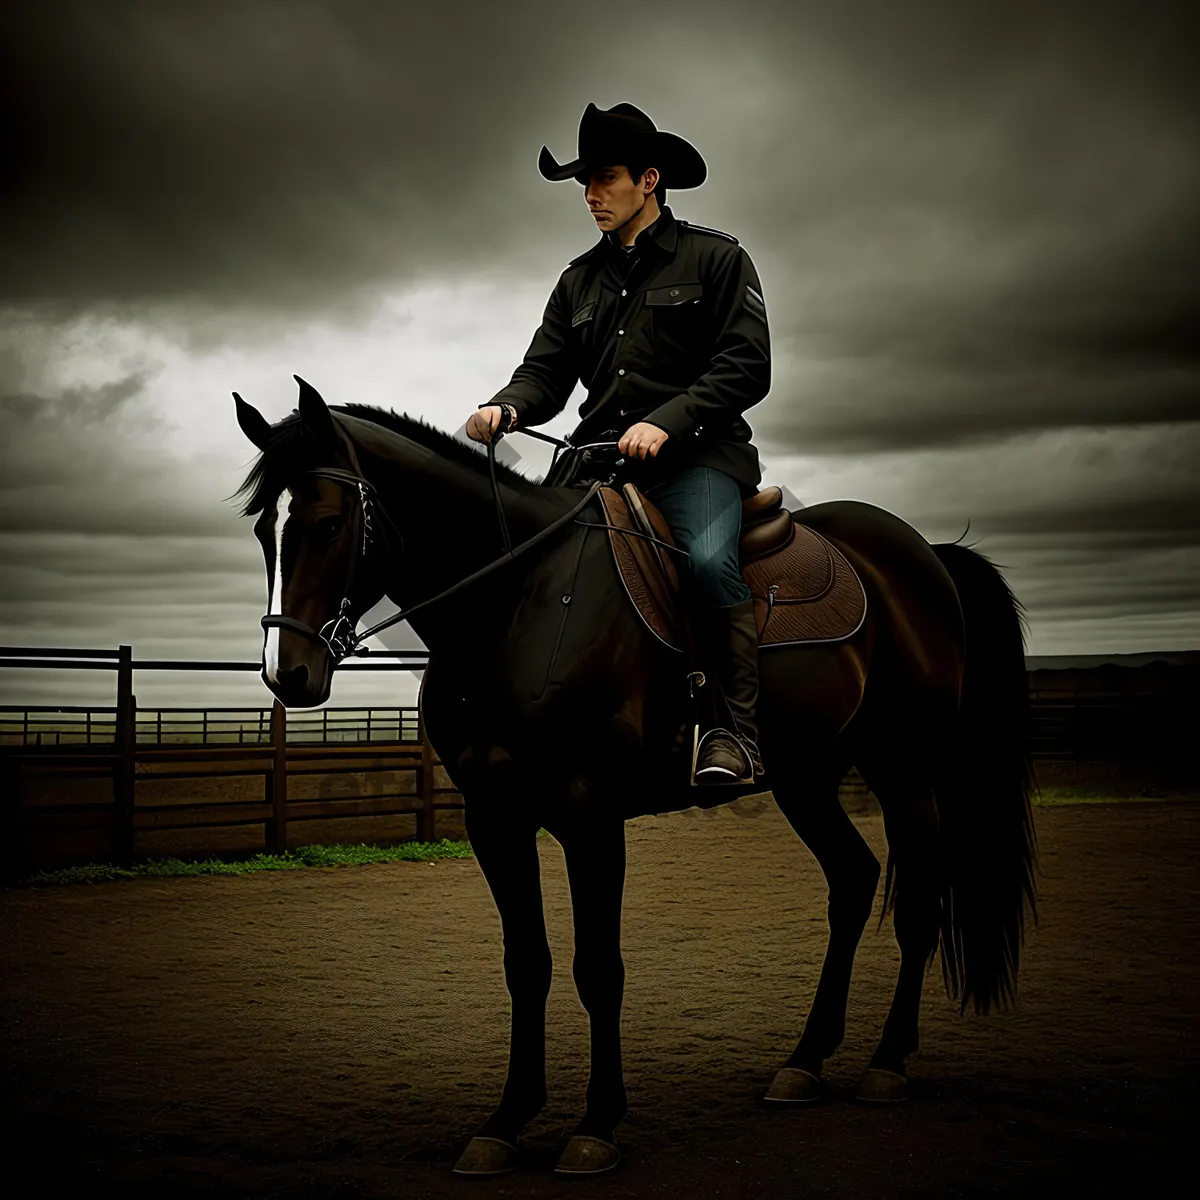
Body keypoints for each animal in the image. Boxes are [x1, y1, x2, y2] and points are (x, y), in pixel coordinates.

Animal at [229, 376, 1036, 1180]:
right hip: (806, 779)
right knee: (854, 881)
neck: (519, 599)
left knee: (918, 903)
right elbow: (526, 963)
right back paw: (804, 1063)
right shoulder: (495, 818)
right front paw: (506, 1121)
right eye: (264, 531)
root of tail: (923, 554)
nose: (287, 675)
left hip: (906, 771)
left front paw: (596, 1124)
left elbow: (598, 967)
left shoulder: (589, 815)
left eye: (329, 524)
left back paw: (887, 1064)